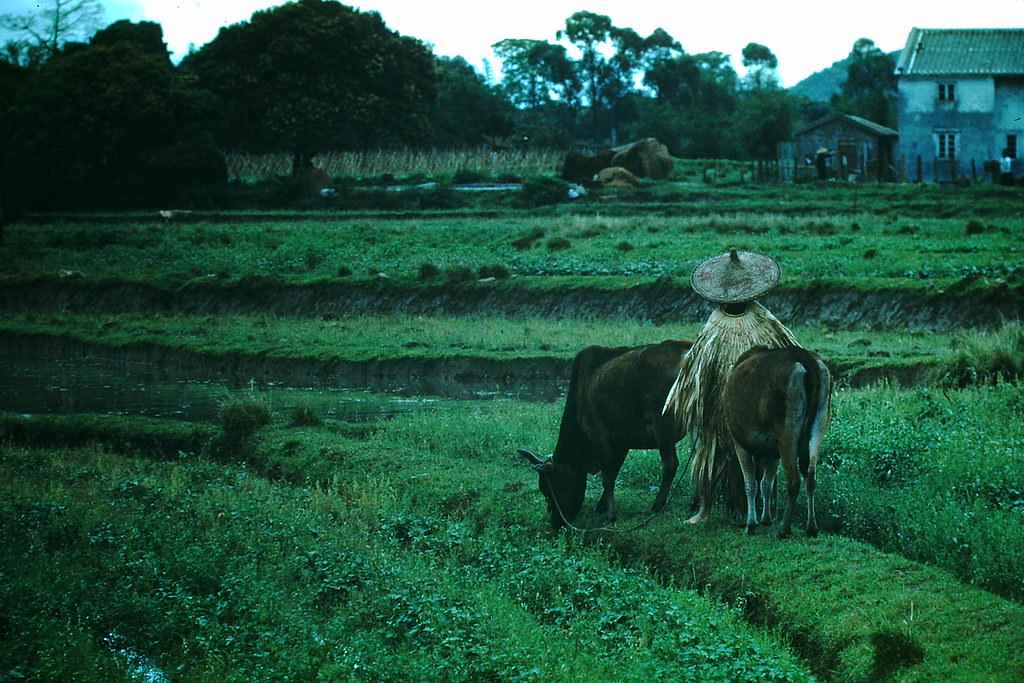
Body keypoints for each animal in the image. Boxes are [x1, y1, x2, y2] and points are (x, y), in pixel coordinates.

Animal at [516, 339, 692, 528]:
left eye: (550, 488)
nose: (556, 522)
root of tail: (686, 349)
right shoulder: (621, 442)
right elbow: (613, 472)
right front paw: (601, 505)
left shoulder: (601, 438)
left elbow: (607, 477)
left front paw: (610, 514)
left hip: (663, 430)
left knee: (670, 464)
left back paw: (657, 504)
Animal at [720, 350, 831, 536]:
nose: (732, 510)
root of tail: (806, 360)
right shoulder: (772, 450)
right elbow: (766, 484)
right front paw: (766, 518)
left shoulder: (740, 443)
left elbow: (751, 484)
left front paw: (751, 524)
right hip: (820, 422)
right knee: (810, 476)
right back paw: (811, 527)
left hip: (786, 428)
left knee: (794, 480)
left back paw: (784, 528)